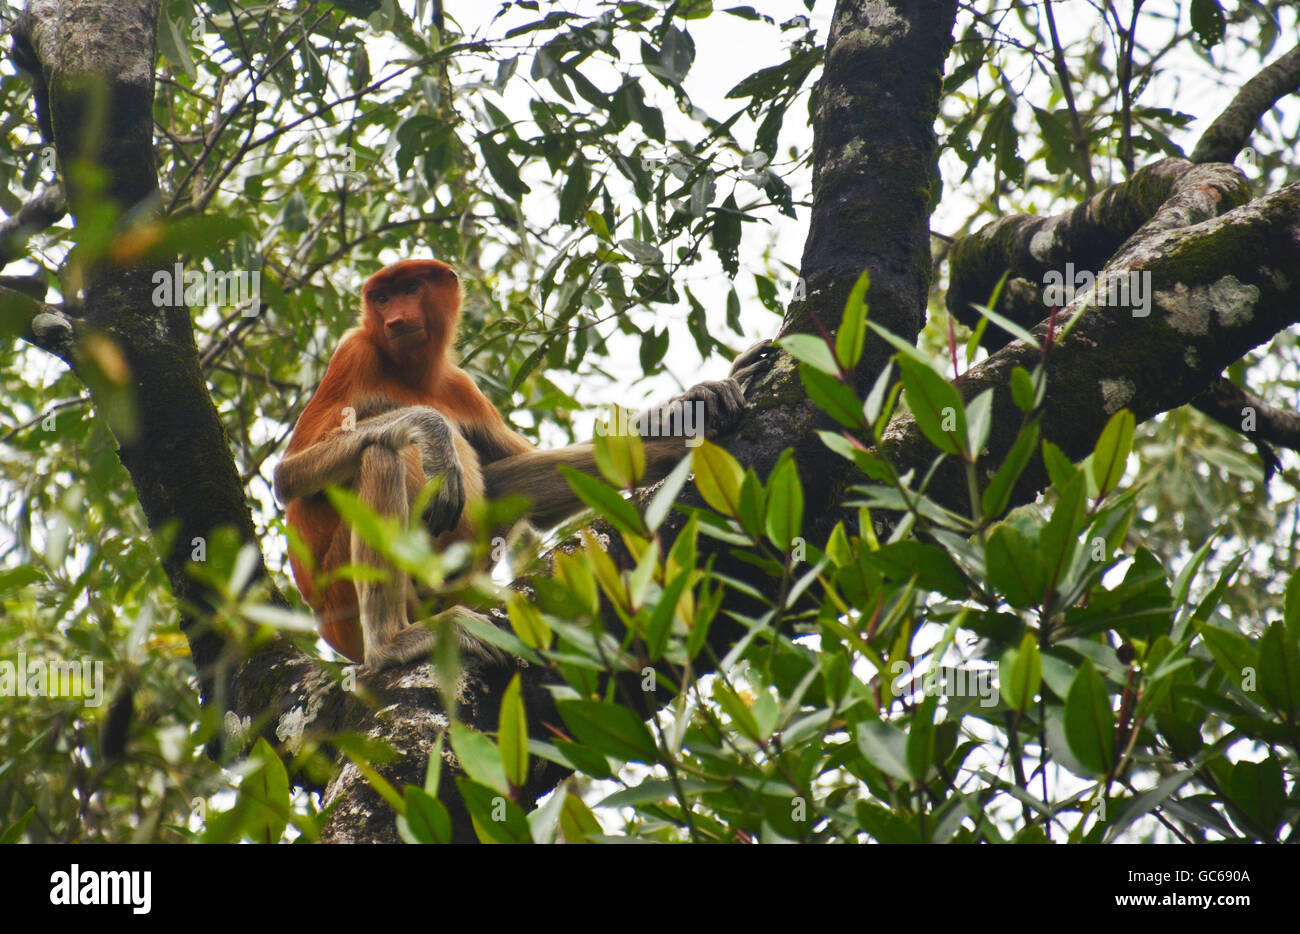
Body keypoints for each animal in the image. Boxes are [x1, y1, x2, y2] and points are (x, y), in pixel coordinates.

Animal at [279, 262, 759, 671]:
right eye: (381, 298)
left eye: (410, 289)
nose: (394, 320)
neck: (411, 375)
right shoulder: (355, 351)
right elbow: (289, 476)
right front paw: (430, 428)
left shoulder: (460, 387)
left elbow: (513, 473)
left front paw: (687, 406)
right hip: (340, 600)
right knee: (380, 454)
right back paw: (392, 643)